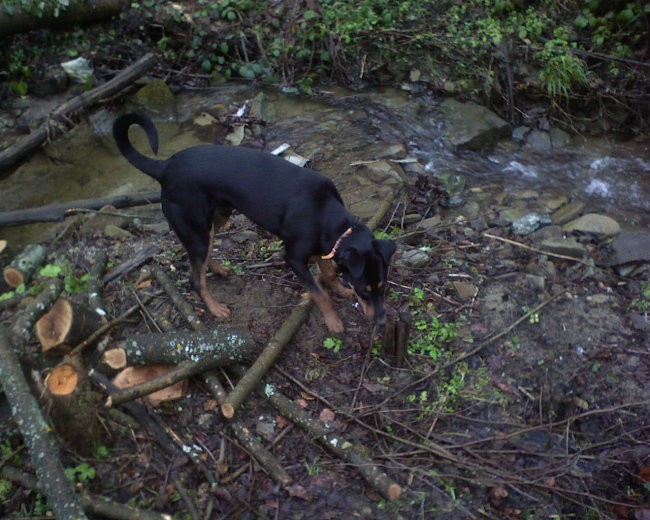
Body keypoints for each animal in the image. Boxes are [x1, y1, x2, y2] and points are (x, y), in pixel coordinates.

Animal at [113, 113, 392, 334]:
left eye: (382, 287)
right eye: (364, 291)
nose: (382, 321)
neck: (323, 211)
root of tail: (164, 167)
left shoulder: (325, 248)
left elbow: (330, 273)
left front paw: (341, 291)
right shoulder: (294, 258)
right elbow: (320, 294)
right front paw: (333, 321)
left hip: (217, 217)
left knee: (202, 256)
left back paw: (218, 269)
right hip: (195, 226)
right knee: (195, 278)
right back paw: (215, 308)